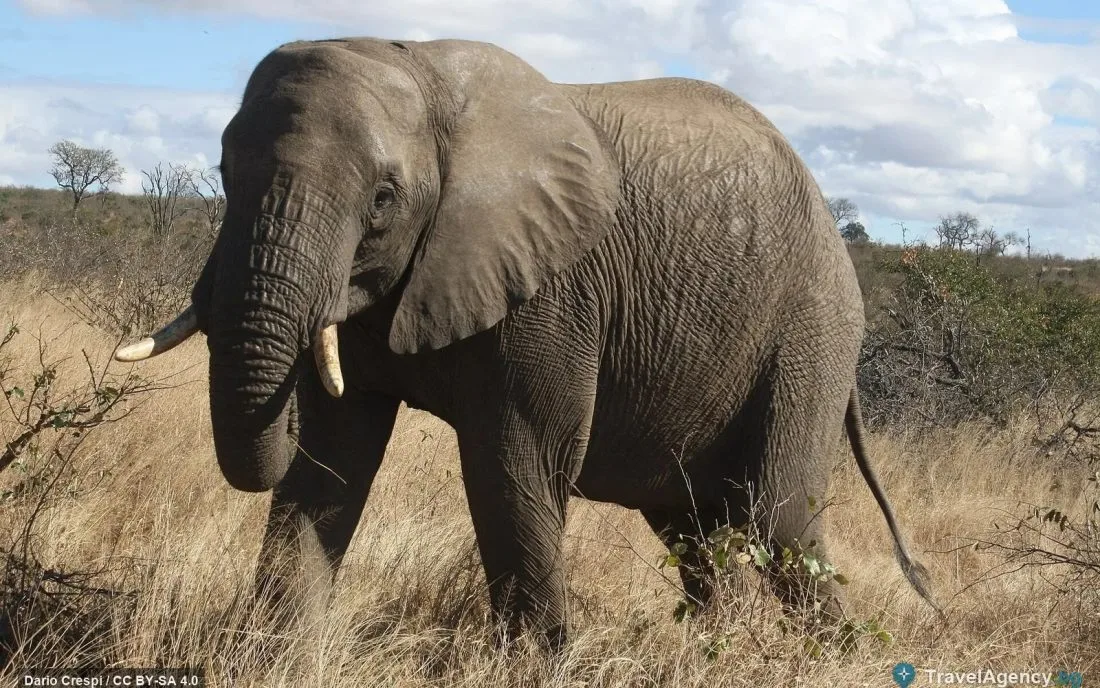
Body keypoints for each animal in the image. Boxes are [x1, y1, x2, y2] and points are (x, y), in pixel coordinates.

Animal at [115, 36, 937, 647]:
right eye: (224, 170)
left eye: (382, 199)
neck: (423, 75)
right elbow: (332, 458)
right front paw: (276, 653)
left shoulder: (554, 292)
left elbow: (516, 464)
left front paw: (537, 661)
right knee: (694, 530)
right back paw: (715, 648)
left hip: (810, 333)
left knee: (781, 520)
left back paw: (834, 656)